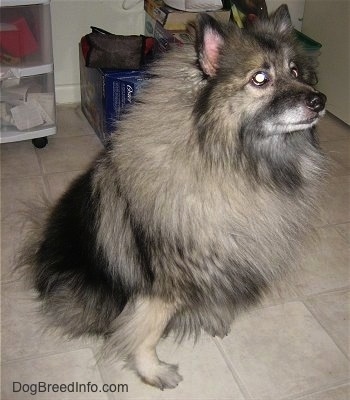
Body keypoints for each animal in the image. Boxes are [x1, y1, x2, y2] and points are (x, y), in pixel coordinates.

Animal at [21, 4, 328, 390]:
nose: (320, 101)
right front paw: (152, 370)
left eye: (295, 71)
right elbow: (144, 331)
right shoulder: (166, 283)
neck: (236, 164)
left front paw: (212, 316)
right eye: (260, 78)